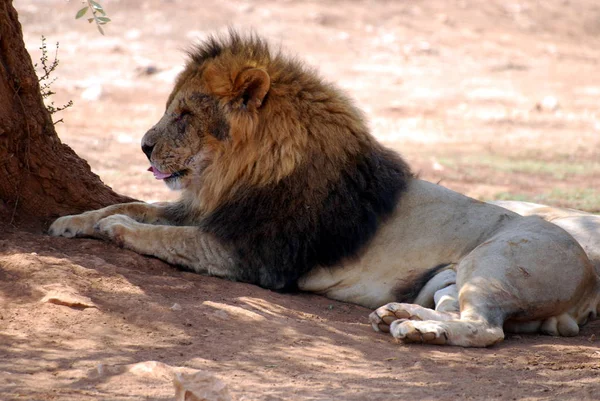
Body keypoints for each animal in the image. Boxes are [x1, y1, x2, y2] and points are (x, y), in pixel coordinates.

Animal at [48, 31, 600, 346]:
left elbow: (156, 232)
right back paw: (400, 314)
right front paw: (71, 221)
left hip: (496, 261)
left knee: (487, 330)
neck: (237, 172)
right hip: (449, 281)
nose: (142, 146)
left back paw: (412, 330)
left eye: (183, 115)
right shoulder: (213, 214)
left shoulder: (251, 255)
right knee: (461, 314)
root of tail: (588, 281)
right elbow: (134, 204)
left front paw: (115, 228)